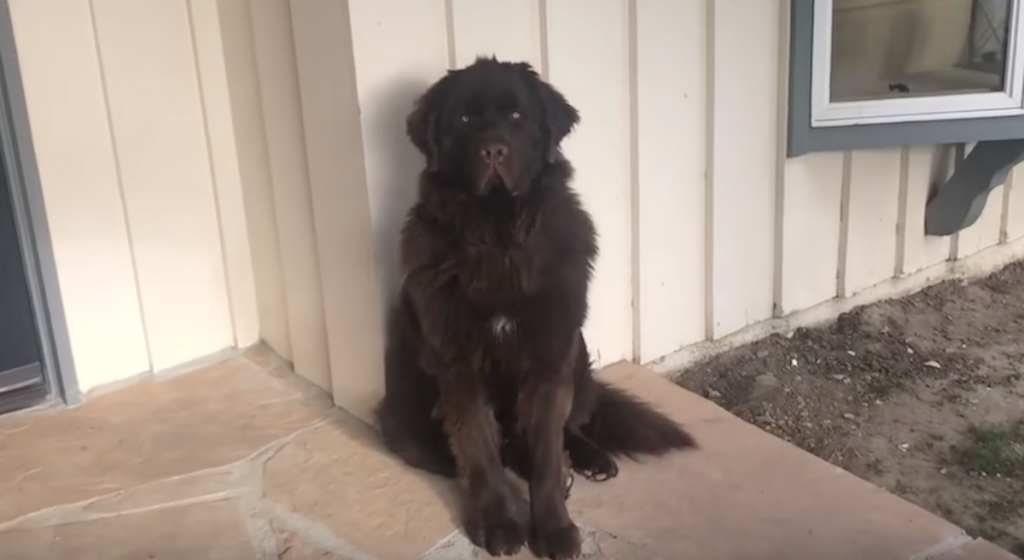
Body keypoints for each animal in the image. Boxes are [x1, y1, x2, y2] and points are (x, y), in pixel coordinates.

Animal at [376, 59, 696, 556]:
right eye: (464, 119)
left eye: (516, 116)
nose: (493, 150)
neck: (499, 236)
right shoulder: (459, 366)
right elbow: (480, 452)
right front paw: (499, 525)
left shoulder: (549, 357)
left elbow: (546, 450)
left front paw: (554, 528)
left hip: (577, 353)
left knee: (571, 426)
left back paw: (588, 459)